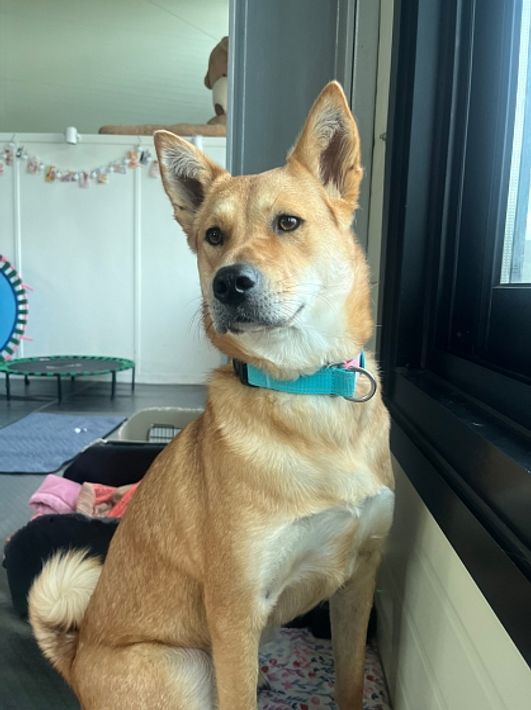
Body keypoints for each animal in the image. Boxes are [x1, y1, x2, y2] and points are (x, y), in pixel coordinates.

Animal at [29, 81, 394, 710]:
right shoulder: (234, 610)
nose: (229, 283)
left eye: (288, 223)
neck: (307, 388)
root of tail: (75, 665)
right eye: (213, 237)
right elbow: (239, 693)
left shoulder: (358, 579)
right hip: (185, 667)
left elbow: (349, 681)